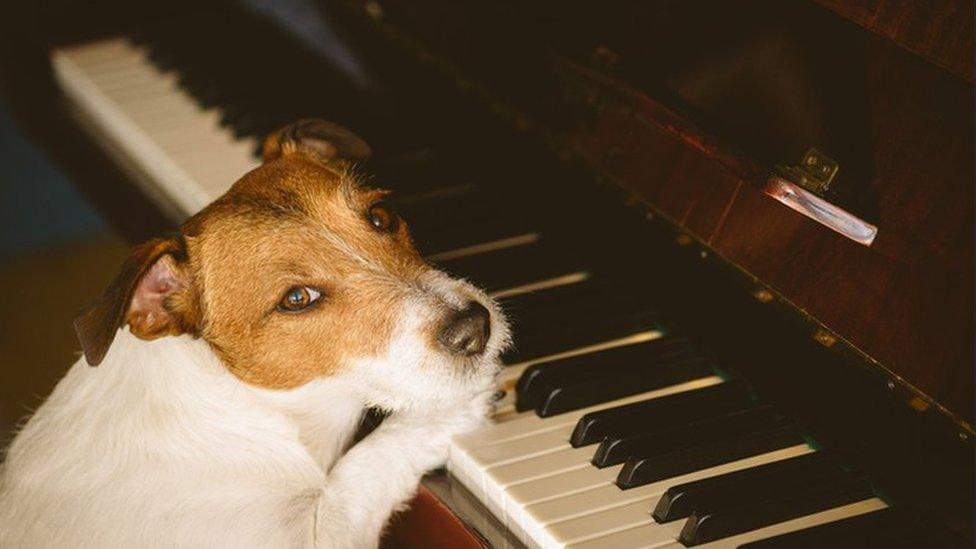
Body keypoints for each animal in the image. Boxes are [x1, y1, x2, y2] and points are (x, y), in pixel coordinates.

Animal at [0, 121, 508, 548]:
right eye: (297, 298)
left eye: (382, 216)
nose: (475, 328)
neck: (246, 402)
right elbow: (359, 471)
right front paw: (448, 412)